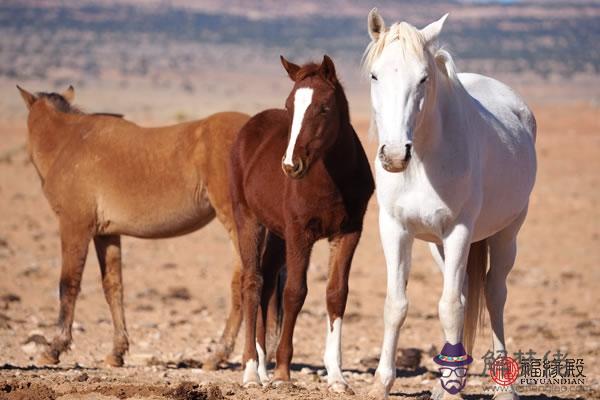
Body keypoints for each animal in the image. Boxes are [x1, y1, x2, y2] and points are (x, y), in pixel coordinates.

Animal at [15, 86, 282, 370]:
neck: (67, 143)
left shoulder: (74, 226)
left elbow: (68, 285)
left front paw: (54, 348)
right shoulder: (106, 234)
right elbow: (113, 287)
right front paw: (117, 352)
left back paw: (220, 355)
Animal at [231, 56, 376, 394]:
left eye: (323, 107)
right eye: (289, 106)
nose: (290, 165)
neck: (331, 178)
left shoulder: (349, 233)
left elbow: (336, 293)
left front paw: (337, 377)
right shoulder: (300, 233)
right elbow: (295, 292)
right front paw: (284, 372)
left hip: (276, 233)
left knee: (267, 283)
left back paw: (262, 370)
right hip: (249, 220)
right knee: (252, 283)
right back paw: (251, 372)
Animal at [364, 8, 536, 400]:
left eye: (423, 78)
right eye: (375, 74)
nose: (394, 154)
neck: (423, 161)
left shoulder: (459, 231)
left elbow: (451, 308)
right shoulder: (395, 229)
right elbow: (396, 304)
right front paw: (381, 383)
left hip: (507, 233)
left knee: (493, 294)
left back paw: (503, 387)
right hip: (438, 247)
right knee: (466, 292)